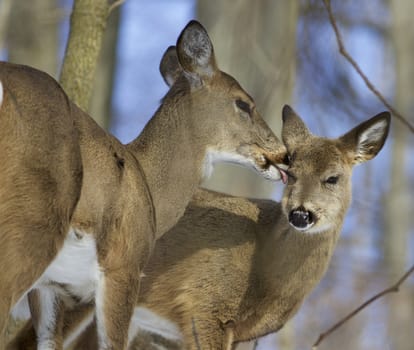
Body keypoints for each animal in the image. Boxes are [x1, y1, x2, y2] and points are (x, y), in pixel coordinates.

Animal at [0, 19, 288, 350]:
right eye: (243, 103)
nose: (284, 154)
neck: (148, 185)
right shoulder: (124, 264)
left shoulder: (52, 284)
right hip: (30, 223)